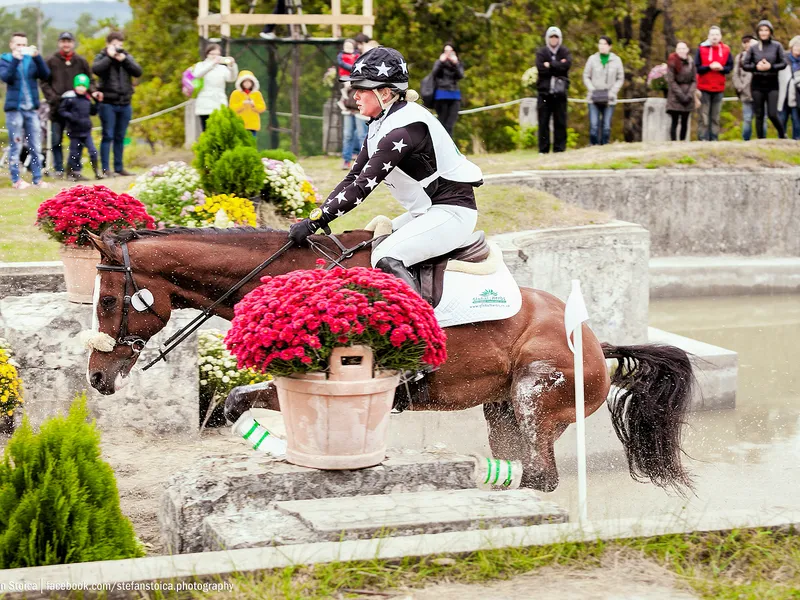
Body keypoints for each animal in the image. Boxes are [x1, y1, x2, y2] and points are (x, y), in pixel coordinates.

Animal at [84, 225, 692, 492]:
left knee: (540, 474)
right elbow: (239, 405)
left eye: (109, 301)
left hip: (534, 396)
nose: (96, 377)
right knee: (518, 463)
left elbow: (243, 402)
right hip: (501, 410)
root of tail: (597, 344)